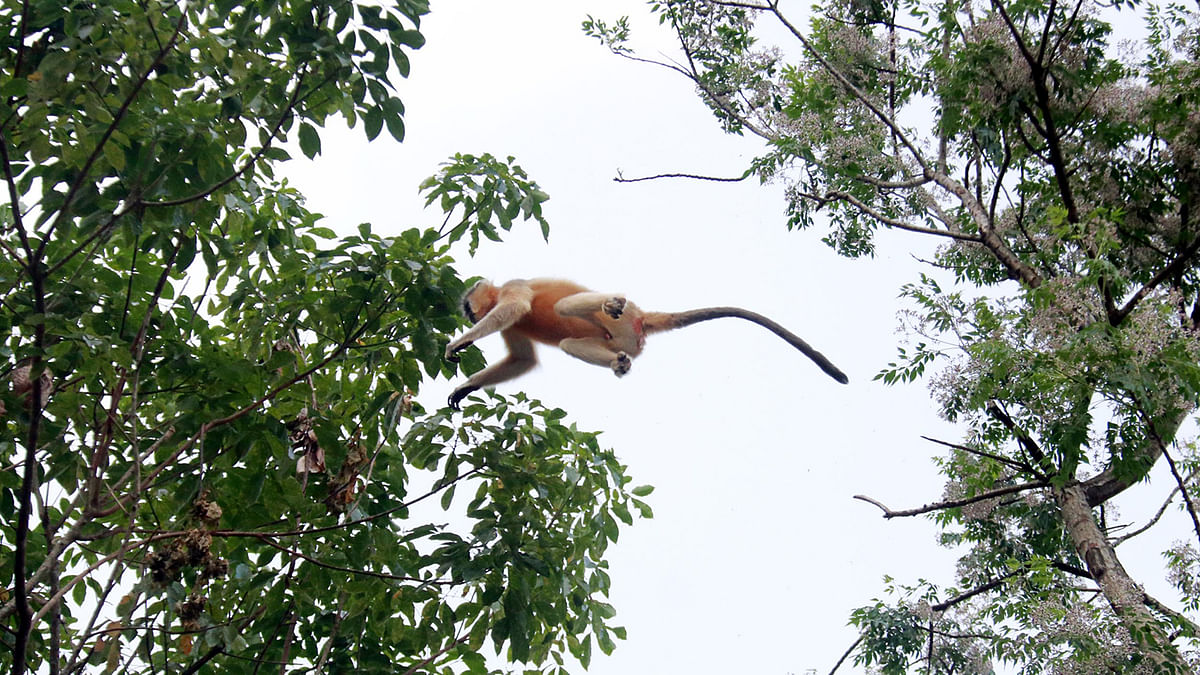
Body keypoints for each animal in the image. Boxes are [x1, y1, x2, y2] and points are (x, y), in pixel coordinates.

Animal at [446, 276, 849, 408]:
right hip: (624, 338)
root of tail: (640, 315)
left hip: (621, 322)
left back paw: (610, 304)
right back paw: (618, 363)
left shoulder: (512, 289)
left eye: (466, 306)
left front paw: (456, 345)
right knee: (576, 345)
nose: (469, 315)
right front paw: (465, 388)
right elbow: (522, 360)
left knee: (566, 308)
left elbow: (517, 306)